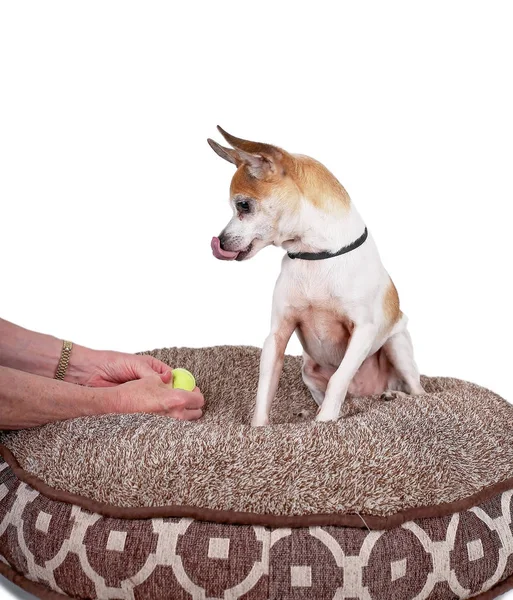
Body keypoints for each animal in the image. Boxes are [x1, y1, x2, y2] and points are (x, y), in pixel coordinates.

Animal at [208, 127, 424, 426]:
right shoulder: (277, 336)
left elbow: (338, 379)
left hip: (397, 345)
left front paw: (324, 424)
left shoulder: (363, 331)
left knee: (419, 392)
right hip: (308, 369)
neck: (313, 255)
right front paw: (259, 428)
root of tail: (365, 393)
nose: (219, 241)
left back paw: (394, 396)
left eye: (243, 206)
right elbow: (265, 389)